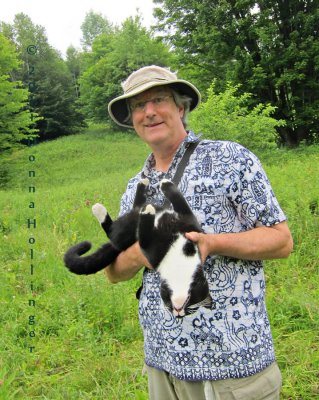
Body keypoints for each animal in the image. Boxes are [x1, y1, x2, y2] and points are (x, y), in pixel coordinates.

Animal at [63, 180, 212, 318]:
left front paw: (148, 212)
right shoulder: (190, 222)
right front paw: (165, 183)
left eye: (190, 308)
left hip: (123, 237)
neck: (182, 252)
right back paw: (142, 184)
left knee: (112, 231)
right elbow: (179, 200)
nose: (178, 311)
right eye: (190, 303)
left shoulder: (149, 249)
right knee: (132, 210)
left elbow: (144, 233)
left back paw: (101, 209)